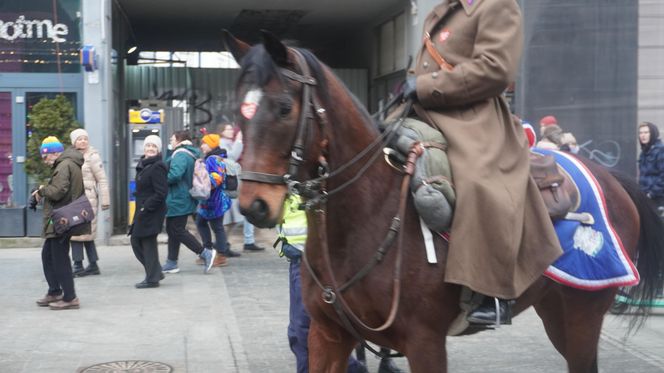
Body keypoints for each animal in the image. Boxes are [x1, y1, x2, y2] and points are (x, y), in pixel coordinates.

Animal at [223, 32, 664, 372]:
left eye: (284, 108)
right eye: (239, 110)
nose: (253, 204)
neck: (366, 218)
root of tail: (609, 176)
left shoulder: (425, 342)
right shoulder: (328, 335)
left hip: (582, 313)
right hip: (555, 308)